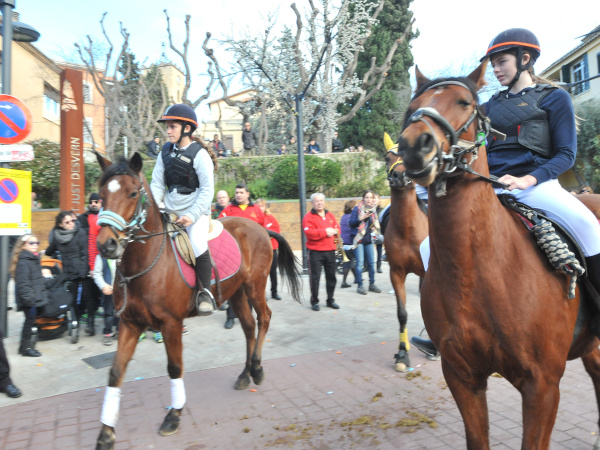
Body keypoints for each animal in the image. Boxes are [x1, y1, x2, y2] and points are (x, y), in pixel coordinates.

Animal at [93, 153, 302, 448]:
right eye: (101, 195)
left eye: (133, 193)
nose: (106, 245)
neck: (145, 263)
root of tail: (260, 227)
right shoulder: (130, 323)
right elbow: (115, 372)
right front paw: (106, 432)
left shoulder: (171, 323)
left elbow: (174, 368)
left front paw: (174, 415)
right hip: (236, 293)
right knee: (249, 326)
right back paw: (245, 373)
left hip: (255, 287)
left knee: (264, 319)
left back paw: (258, 369)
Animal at [400, 60, 600, 450]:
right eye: (413, 106)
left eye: (464, 102)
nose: (415, 145)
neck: (478, 271)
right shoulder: (463, 378)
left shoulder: (542, 386)